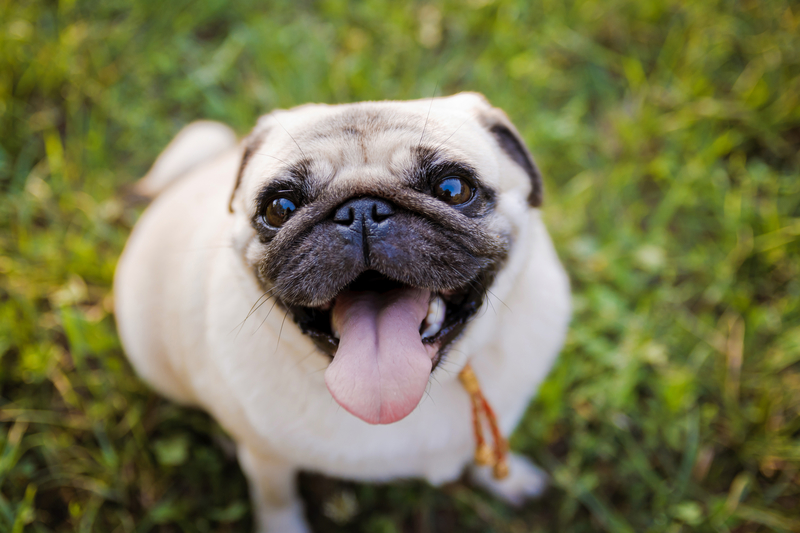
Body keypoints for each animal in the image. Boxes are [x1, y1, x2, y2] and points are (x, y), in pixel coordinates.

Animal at [115, 93, 572, 528]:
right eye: (280, 208)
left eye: (453, 189)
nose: (362, 210)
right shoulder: (267, 461)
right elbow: (276, 499)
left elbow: (493, 443)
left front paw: (508, 479)